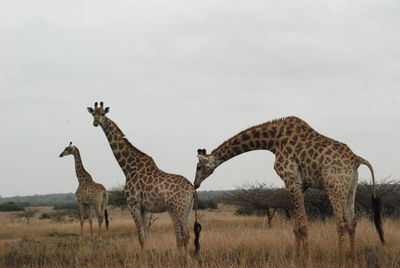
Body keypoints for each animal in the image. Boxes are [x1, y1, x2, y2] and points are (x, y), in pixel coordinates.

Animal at [86, 100, 202, 260]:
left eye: (103, 113)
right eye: (93, 114)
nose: (96, 122)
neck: (128, 168)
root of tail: (192, 189)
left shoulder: (133, 204)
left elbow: (140, 235)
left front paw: (142, 258)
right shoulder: (144, 208)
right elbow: (146, 234)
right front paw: (147, 254)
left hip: (176, 209)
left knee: (182, 235)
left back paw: (180, 259)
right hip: (187, 209)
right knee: (187, 235)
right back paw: (186, 258)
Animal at [194, 116, 384, 268]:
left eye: (198, 167)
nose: (195, 184)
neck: (272, 141)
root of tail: (357, 159)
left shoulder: (292, 181)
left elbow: (303, 225)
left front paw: (307, 261)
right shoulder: (301, 185)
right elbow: (295, 226)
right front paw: (296, 259)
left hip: (334, 187)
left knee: (341, 223)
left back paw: (341, 262)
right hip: (351, 187)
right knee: (352, 222)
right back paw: (354, 261)